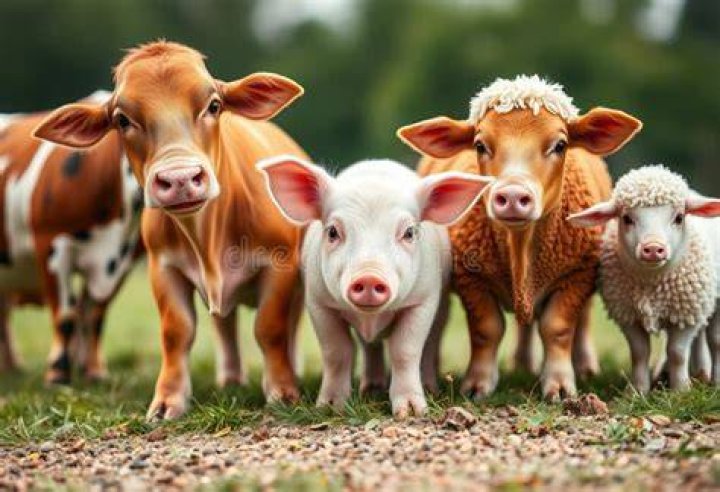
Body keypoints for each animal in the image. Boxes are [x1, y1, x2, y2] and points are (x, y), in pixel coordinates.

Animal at [0, 91, 143, 383]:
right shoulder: (52, 245)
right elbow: (66, 316)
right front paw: (57, 372)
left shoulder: (124, 259)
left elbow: (94, 316)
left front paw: (95, 370)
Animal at [34, 41, 307, 419]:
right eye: (122, 119)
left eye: (213, 105)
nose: (180, 179)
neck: (207, 236)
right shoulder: (162, 268)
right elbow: (177, 331)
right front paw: (169, 399)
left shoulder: (279, 267)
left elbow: (270, 329)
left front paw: (282, 390)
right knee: (225, 325)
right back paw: (231, 379)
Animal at [397, 75, 642, 400]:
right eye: (479, 145)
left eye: (560, 145)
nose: (512, 196)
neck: (520, 246)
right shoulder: (471, 278)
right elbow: (487, 329)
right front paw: (478, 385)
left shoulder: (576, 274)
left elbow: (557, 328)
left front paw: (560, 384)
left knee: (583, 320)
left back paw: (584, 366)